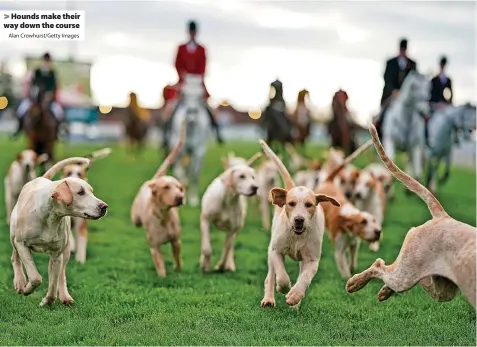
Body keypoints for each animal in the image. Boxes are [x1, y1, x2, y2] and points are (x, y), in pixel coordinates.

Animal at [169, 74, 210, 208]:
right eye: (184, 94)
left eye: (201, 95)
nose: (192, 112)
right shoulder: (178, 150)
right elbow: (179, 172)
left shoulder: (199, 151)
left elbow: (194, 174)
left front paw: (193, 199)